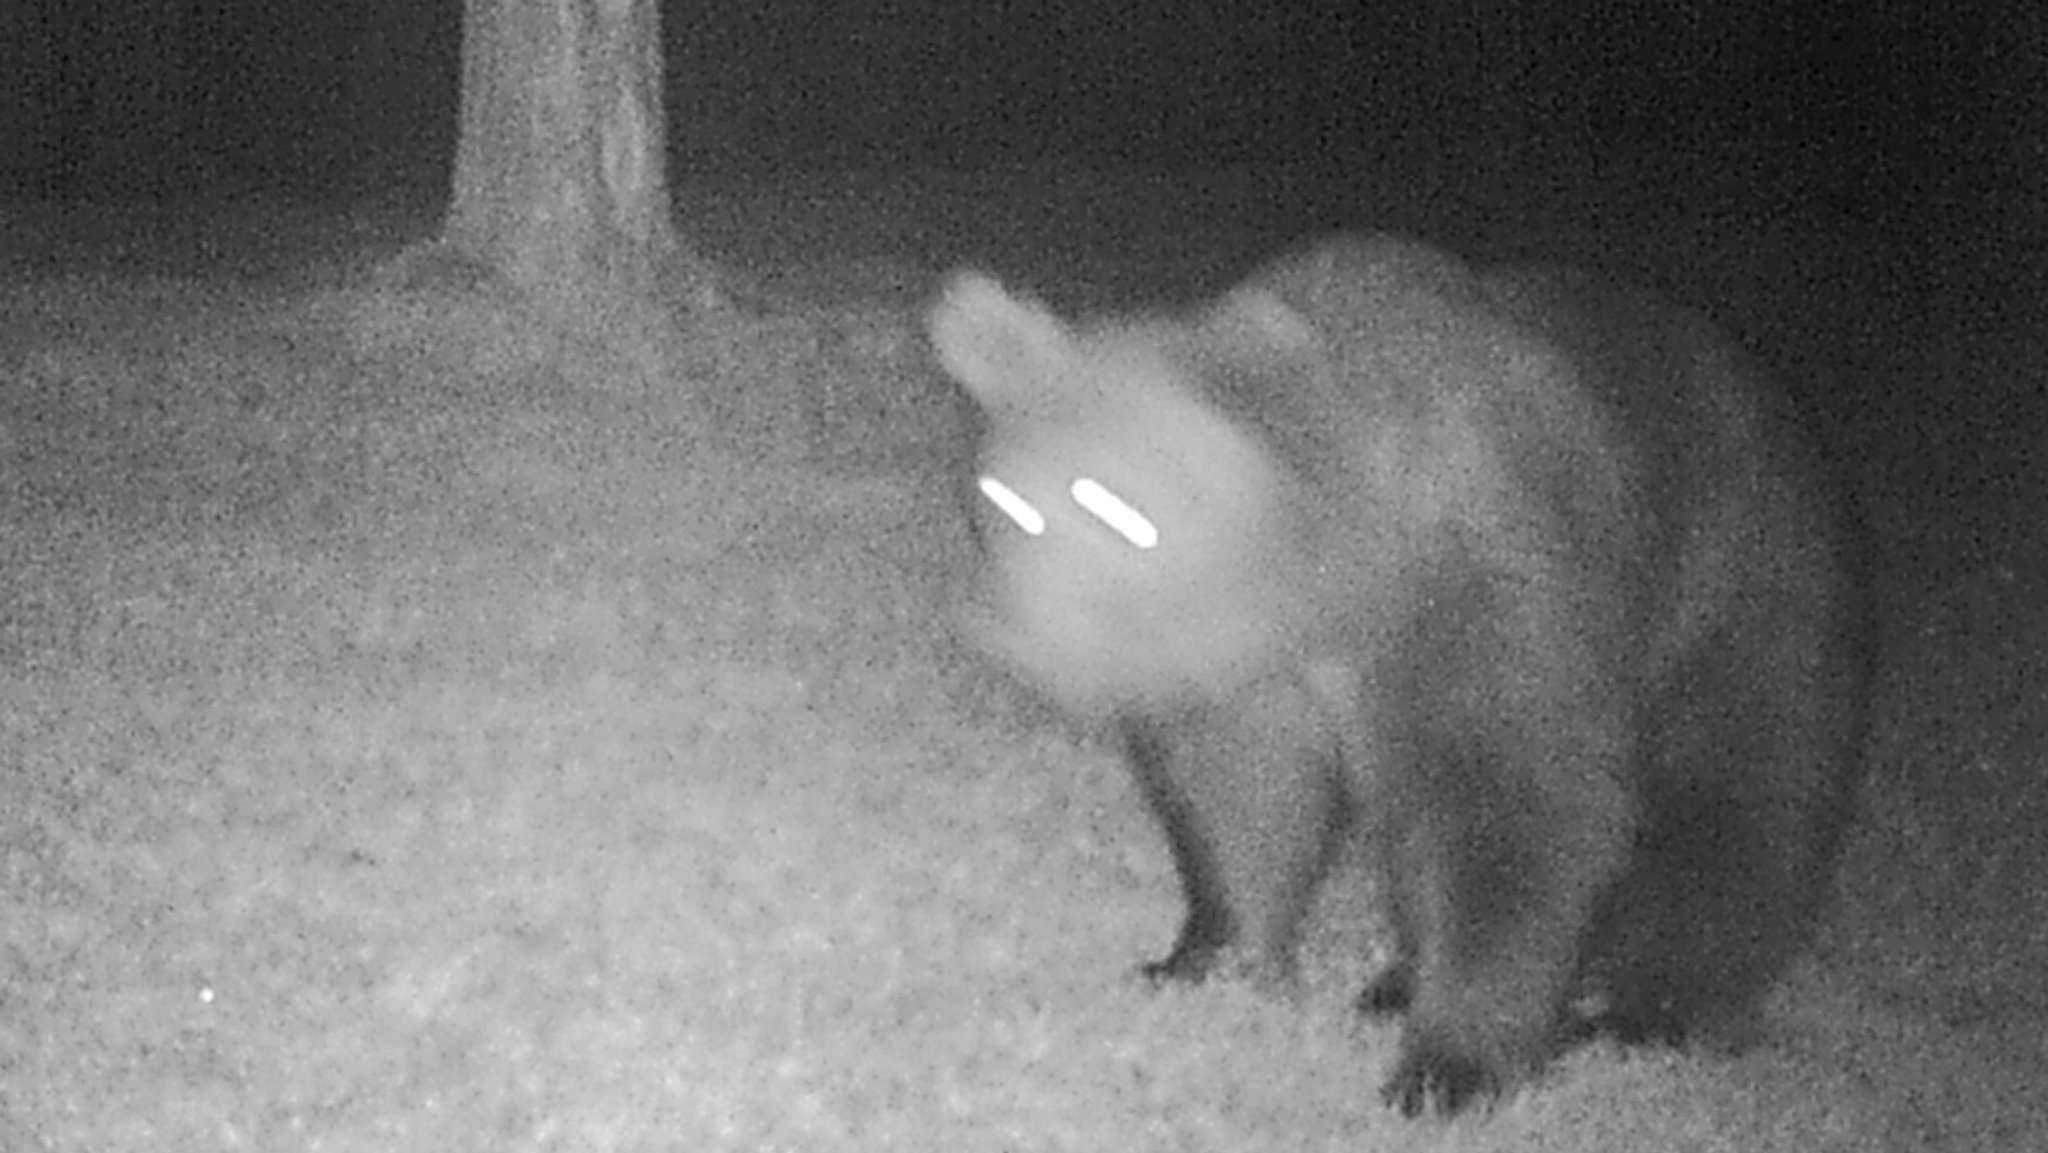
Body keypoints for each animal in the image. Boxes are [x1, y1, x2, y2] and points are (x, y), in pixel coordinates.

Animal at [929, 232, 1875, 1122]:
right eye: (1006, 500)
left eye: (1115, 505)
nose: (1013, 637)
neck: (1328, 586)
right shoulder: (1260, 672)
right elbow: (1240, 794)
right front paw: (1207, 957)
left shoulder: (1488, 599)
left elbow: (1519, 811)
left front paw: (1451, 1067)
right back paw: (1397, 981)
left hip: (1746, 608)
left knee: (1739, 816)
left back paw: (1645, 1010)